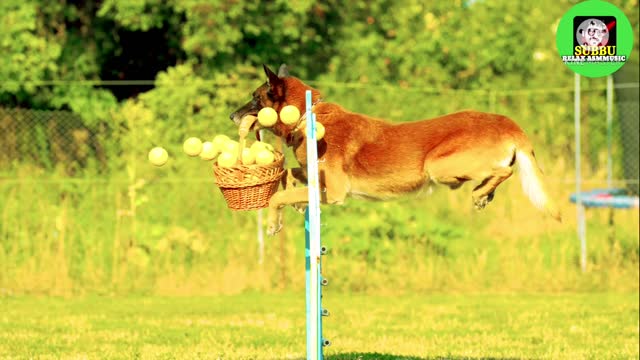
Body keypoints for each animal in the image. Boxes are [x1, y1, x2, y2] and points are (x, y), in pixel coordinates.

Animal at [230, 64, 560, 236]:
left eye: (256, 98)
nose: (232, 116)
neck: (305, 115)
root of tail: (508, 123)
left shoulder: (334, 192)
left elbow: (278, 196)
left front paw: (273, 222)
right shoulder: (316, 179)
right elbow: (288, 174)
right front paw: (296, 203)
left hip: (438, 166)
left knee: (504, 170)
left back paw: (481, 192)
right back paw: (485, 194)